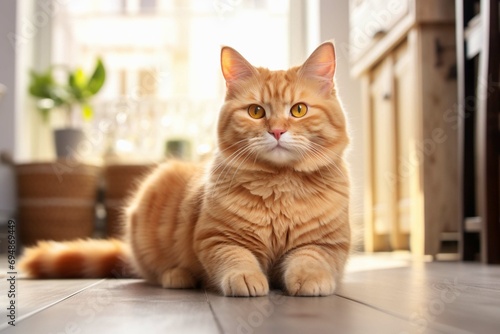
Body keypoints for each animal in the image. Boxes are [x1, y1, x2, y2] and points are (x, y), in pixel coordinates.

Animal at [20, 40, 352, 296]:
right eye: (256, 112)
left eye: (299, 110)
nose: (278, 131)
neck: (279, 186)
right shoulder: (217, 238)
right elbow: (238, 260)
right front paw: (247, 279)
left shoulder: (326, 243)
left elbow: (310, 260)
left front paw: (310, 280)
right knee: (154, 273)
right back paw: (178, 276)